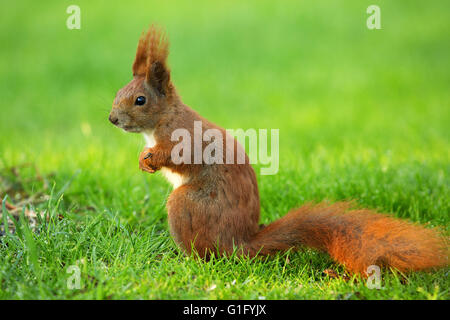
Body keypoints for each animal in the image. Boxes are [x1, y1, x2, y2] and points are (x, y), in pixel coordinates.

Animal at [108, 25, 446, 276]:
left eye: (140, 100)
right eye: (118, 92)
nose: (112, 119)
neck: (161, 120)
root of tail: (238, 244)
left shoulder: (184, 138)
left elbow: (180, 157)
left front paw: (152, 159)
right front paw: (143, 159)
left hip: (185, 206)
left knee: (207, 253)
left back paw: (185, 260)